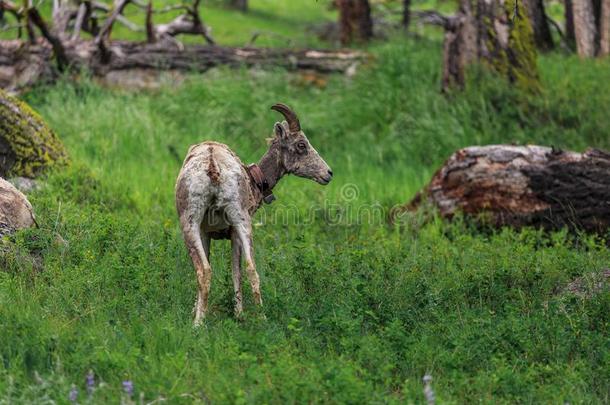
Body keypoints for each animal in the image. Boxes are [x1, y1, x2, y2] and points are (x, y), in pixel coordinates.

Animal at [175, 102, 332, 324]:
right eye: (302, 145)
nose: (328, 173)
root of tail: (212, 163)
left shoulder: (212, 233)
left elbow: (231, 269)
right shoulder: (216, 233)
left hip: (201, 224)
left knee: (210, 270)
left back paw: (201, 323)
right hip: (234, 223)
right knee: (249, 268)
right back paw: (257, 317)